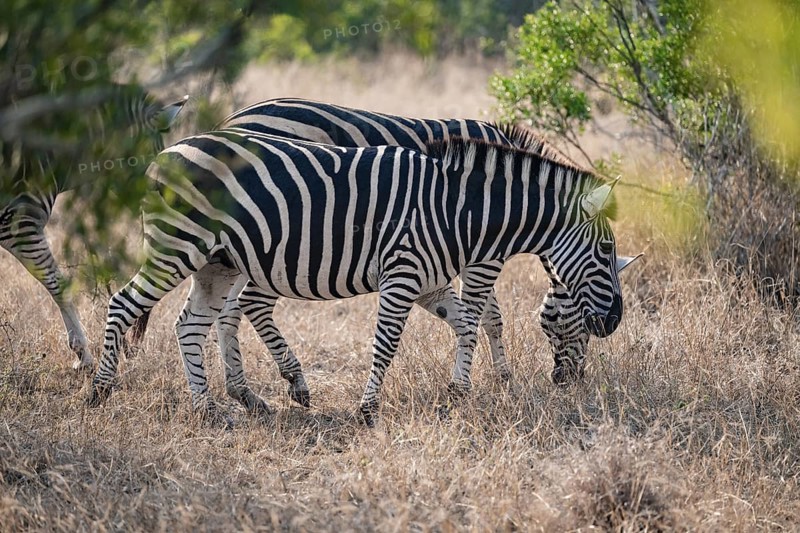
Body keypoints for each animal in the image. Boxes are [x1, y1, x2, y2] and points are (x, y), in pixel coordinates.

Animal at [127, 98, 639, 411]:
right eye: (557, 322)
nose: (569, 381)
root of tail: (232, 121)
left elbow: (471, 315)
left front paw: (487, 378)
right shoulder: (482, 257)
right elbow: (488, 314)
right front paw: (501, 378)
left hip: (242, 248)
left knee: (226, 311)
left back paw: (246, 392)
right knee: (240, 307)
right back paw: (272, 385)